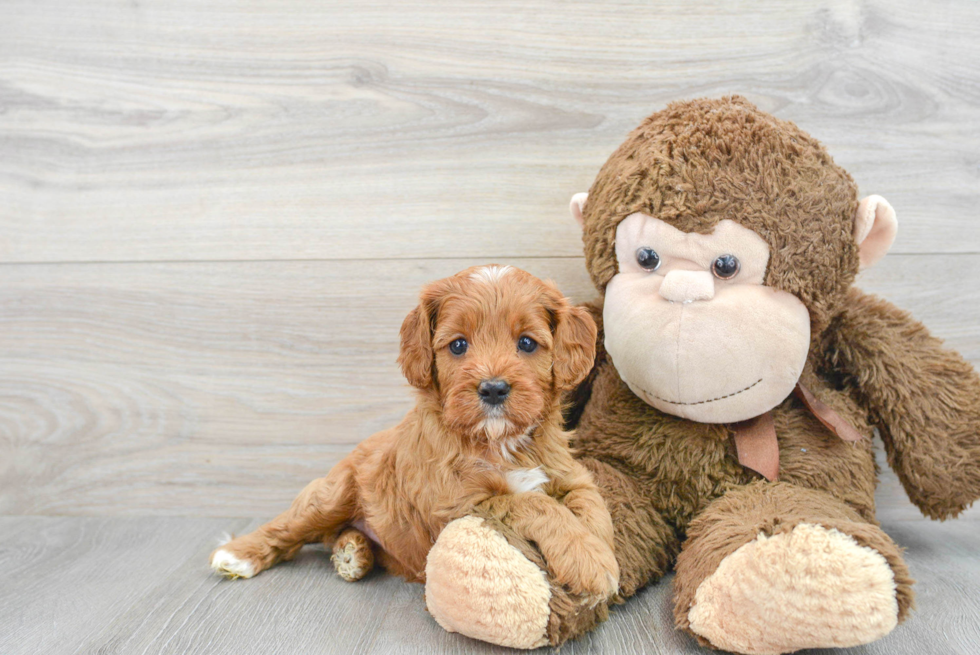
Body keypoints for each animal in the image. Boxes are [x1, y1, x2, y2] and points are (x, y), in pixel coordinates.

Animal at [210, 264, 616, 604]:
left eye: (528, 343)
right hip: (332, 494)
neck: (500, 442)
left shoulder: (569, 474)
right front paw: (590, 562)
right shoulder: (457, 504)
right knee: (289, 526)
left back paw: (353, 551)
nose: (493, 389)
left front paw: (603, 552)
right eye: (458, 345)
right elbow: (535, 503)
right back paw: (238, 554)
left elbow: (593, 505)